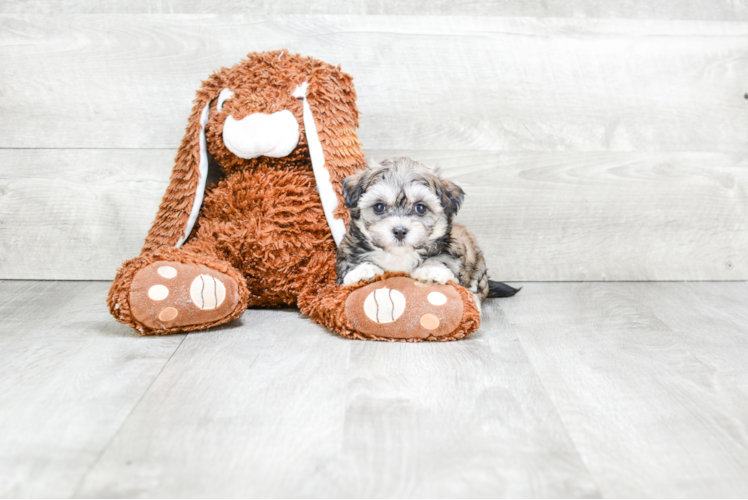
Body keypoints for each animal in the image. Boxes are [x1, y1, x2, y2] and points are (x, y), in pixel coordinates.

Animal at [338, 157, 520, 308]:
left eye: (420, 207)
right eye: (379, 207)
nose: (399, 231)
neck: (399, 255)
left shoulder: (453, 248)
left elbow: (444, 259)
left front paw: (430, 269)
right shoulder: (348, 247)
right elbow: (351, 260)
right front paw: (361, 271)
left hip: (478, 266)